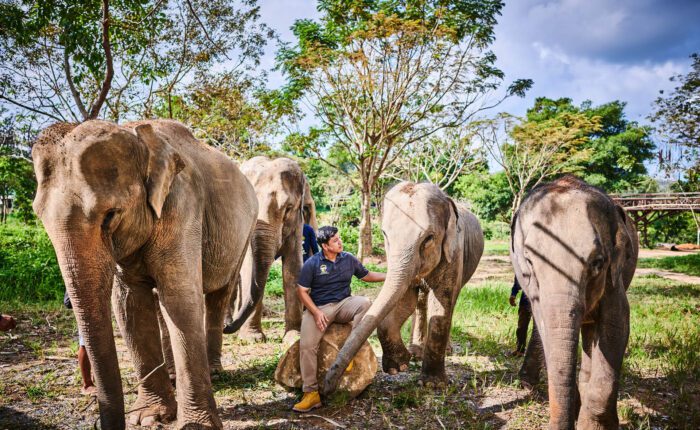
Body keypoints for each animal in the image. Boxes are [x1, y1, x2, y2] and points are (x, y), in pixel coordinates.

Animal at [32, 119, 260, 428]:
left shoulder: (182, 206)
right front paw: (149, 417)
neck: (137, 135)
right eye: (39, 216)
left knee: (218, 295)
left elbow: (179, 298)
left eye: (110, 215)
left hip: (243, 233)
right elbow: (129, 305)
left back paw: (214, 371)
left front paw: (195, 425)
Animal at [224, 155, 318, 342]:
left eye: (288, 208)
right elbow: (248, 269)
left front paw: (294, 337)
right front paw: (252, 339)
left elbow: (293, 268)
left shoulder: (296, 225)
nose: (226, 328)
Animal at [324, 181, 484, 394]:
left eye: (429, 238)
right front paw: (398, 367)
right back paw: (416, 352)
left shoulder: (454, 252)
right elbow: (405, 299)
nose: (325, 389)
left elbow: (441, 304)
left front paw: (433, 384)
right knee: (421, 302)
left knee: (449, 302)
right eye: (385, 234)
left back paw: (445, 351)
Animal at [508, 176, 640, 430]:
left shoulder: (614, 279)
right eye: (529, 262)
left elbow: (617, 325)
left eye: (598, 262)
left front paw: (594, 425)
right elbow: (546, 329)